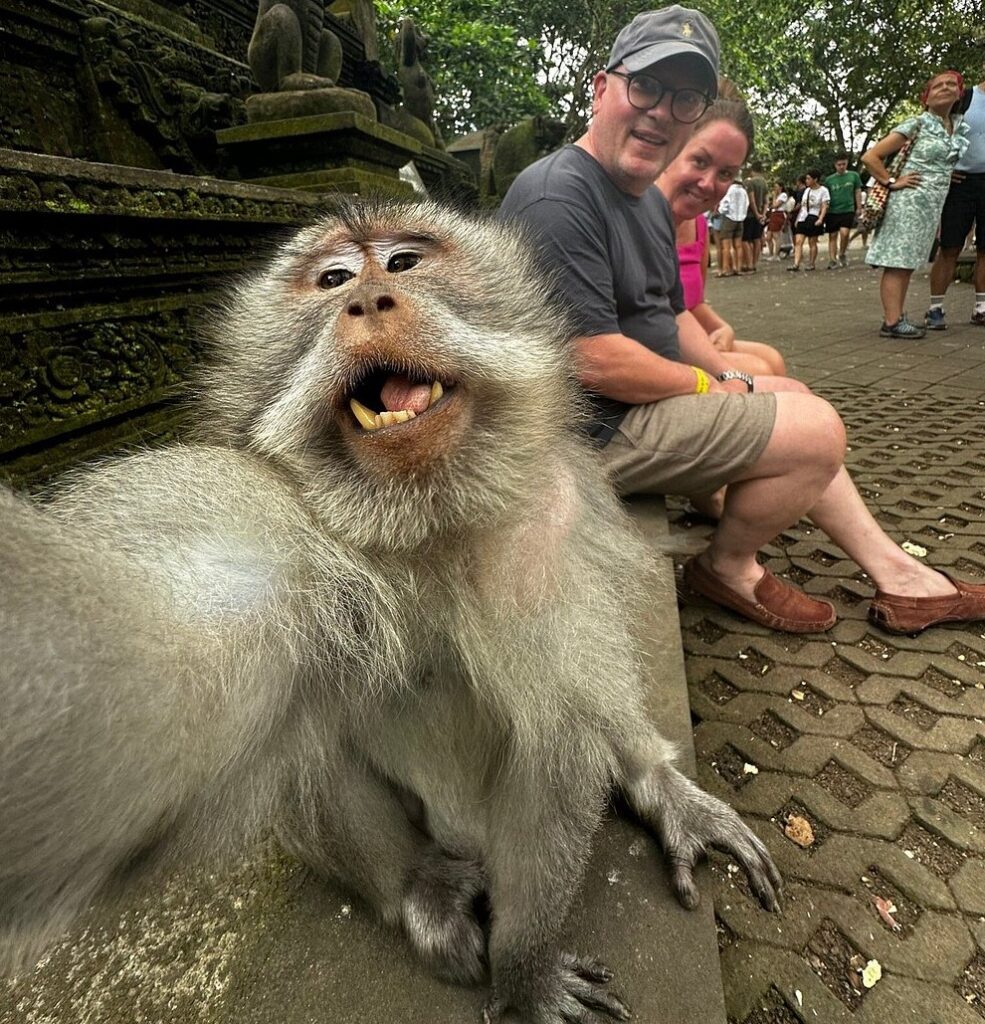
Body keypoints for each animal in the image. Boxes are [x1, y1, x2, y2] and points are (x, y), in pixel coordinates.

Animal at [0, 195, 778, 1019]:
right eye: (333, 279)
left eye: (404, 262)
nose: (369, 299)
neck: (420, 526)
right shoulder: (256, 528)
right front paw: (522, 977)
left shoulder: (551, 526)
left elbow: (560, 737)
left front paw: (524, 966)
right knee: (310, 745)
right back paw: (421, 884)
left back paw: (650, 779)